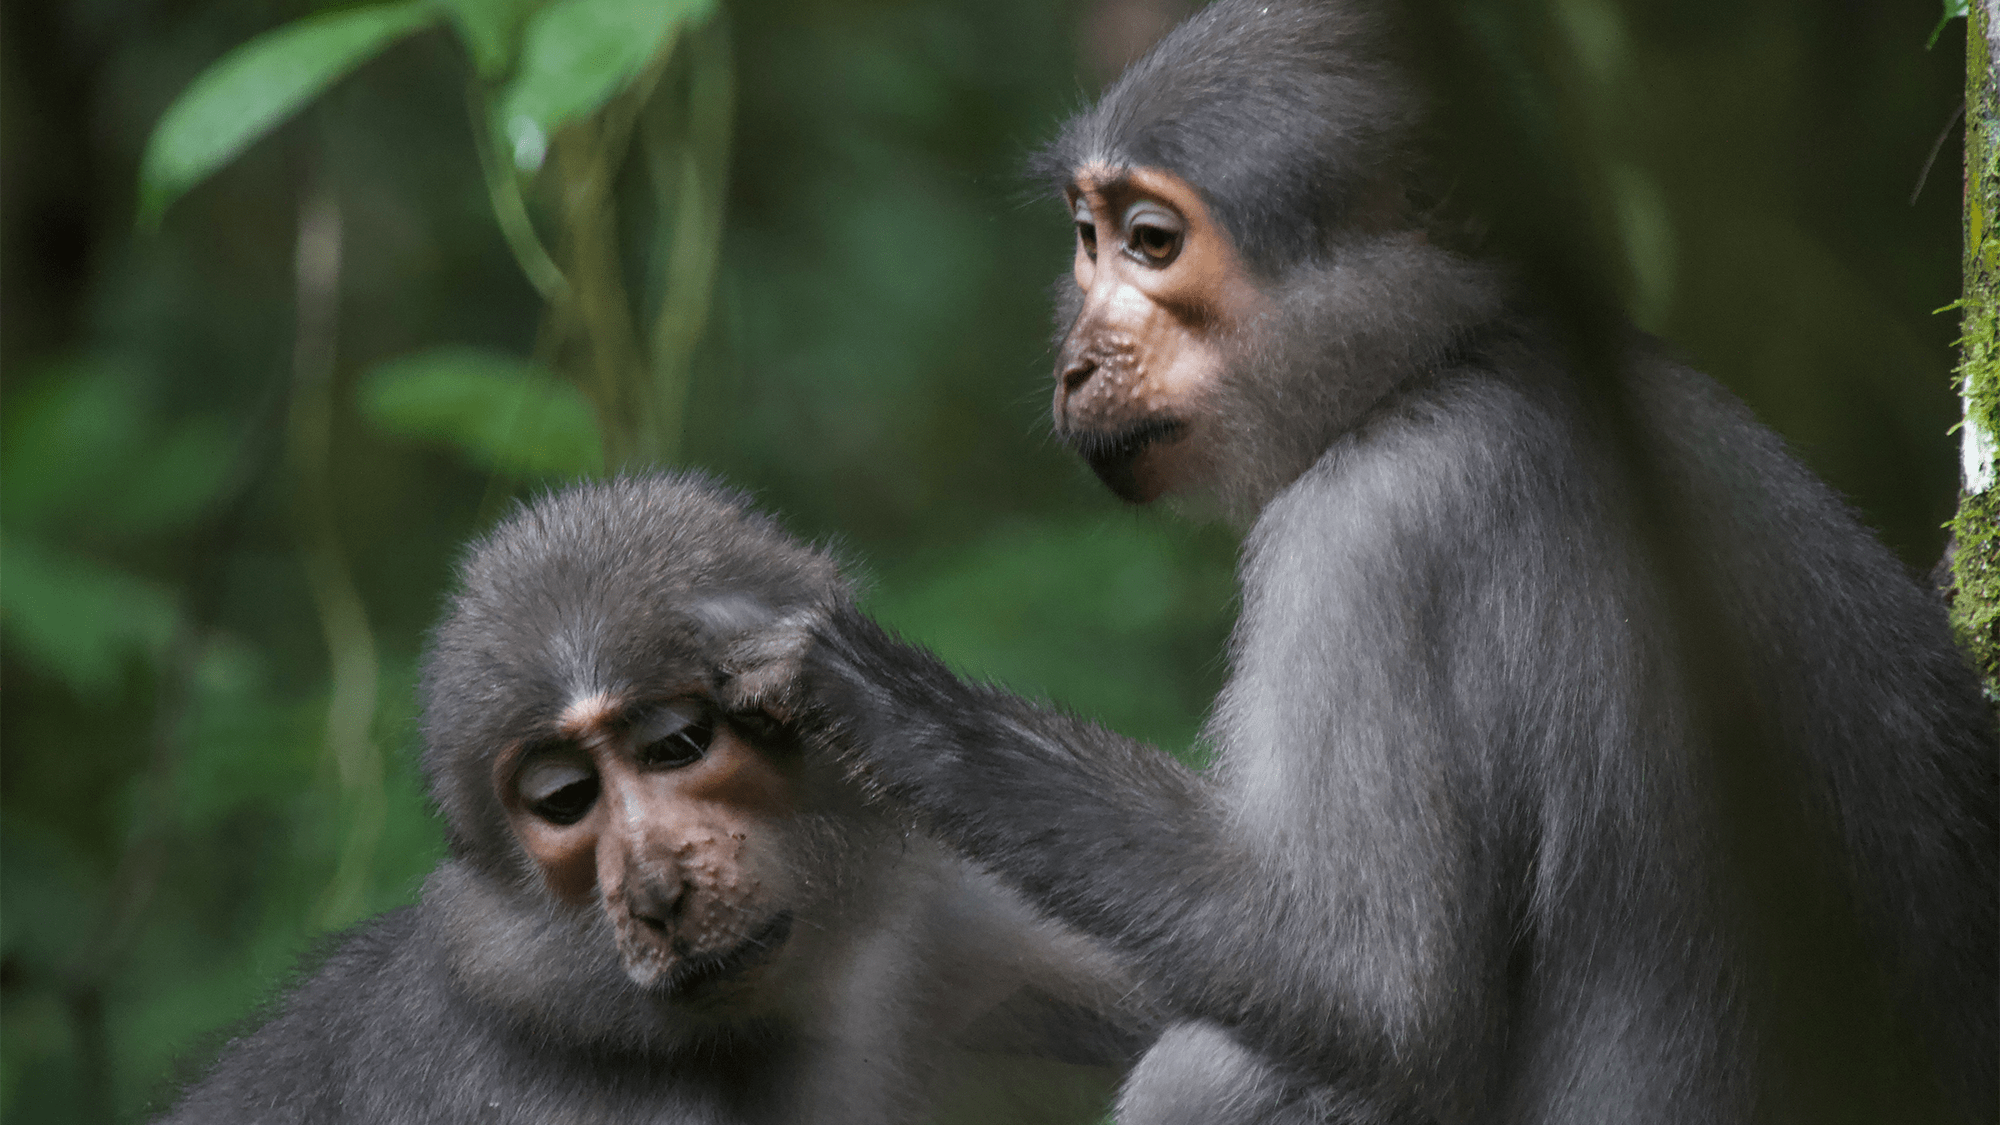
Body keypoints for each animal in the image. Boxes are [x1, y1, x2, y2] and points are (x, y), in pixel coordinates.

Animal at [736, 4, 2000, 1112]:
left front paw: (881, 697)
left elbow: (1374, 992)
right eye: (1086, 240)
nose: (1075, 361)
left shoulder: (1365, 534)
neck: (1454, 359)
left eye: (1151, 243)